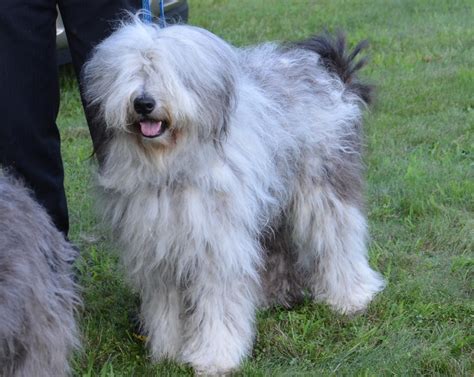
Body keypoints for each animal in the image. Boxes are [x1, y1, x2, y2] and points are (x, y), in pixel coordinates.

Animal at [82, 18, 386, 374]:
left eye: (170, 73)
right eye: (131, 73)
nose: (143, 103)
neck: (171, 167)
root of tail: (330, 74)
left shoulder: (217, 244)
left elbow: (218, 302)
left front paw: (215, 356)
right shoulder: (158, 248)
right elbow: (165, 303)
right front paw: (168, 352)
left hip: (322, 188)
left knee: (337, 237)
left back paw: (351, 295)